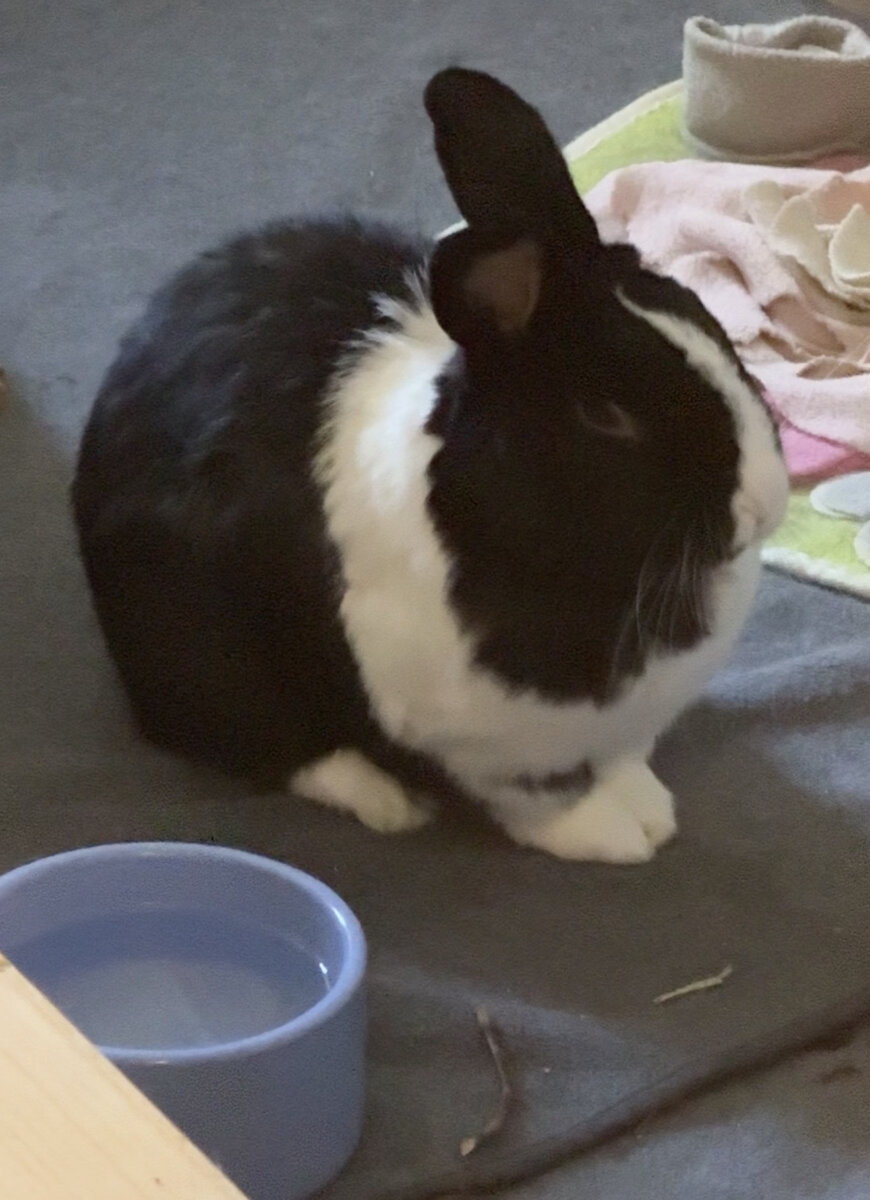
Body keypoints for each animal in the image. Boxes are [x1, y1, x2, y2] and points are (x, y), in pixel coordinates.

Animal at [72, 68, 788, 863]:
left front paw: (649, 808)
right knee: (261, 742)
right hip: (196, 654)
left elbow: (622, 759)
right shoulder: (484, 749)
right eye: (606, 417)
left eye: (710, 323)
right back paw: (386, 800)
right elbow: (537, 798)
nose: (764, 505)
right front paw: (611, 836)